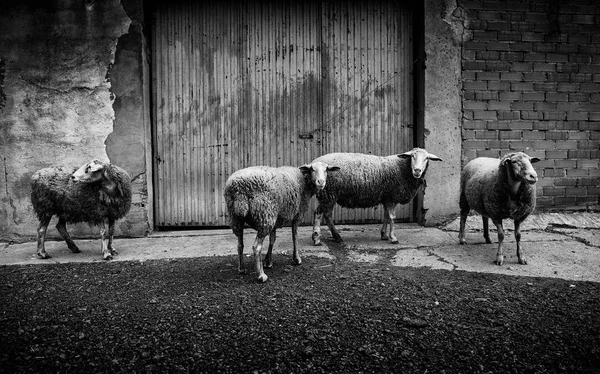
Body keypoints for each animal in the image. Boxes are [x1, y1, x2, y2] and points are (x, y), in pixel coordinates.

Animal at [310, 148, 440, 247]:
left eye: (426, 158)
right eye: (412, 156)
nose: (417, 170)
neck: (402, 168)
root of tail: (314, 163)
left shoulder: (387, 198)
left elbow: (386, 216)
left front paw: (384, 235)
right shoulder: (392, 197)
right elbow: (392, 217)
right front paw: (393, 238)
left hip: (328, 195)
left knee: (326, 215)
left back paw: (336, 237)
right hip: (328, 194)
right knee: (319, 214)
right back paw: (317, 239)